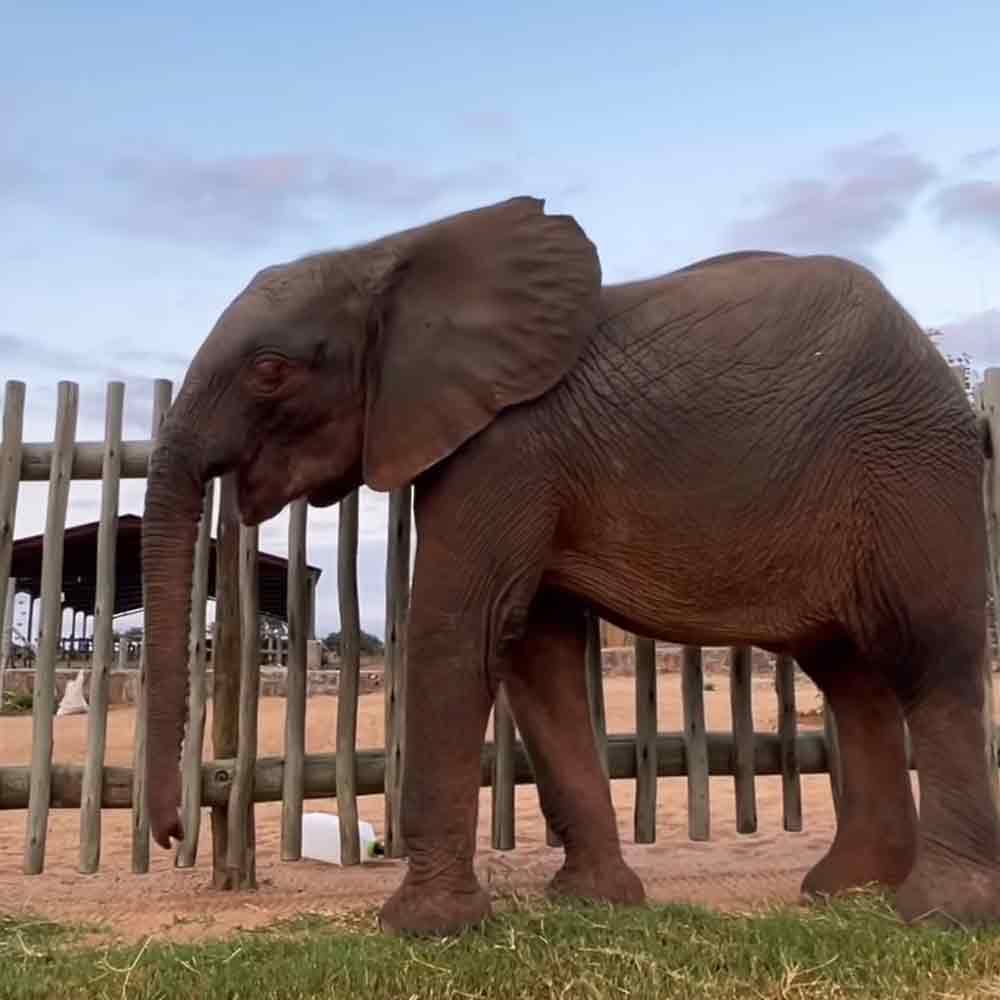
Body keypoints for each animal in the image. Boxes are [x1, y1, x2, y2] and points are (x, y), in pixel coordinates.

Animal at [142, 195, 1000, 937]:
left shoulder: (506, 447)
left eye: (270, 370)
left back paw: (939, 913)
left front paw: (426, 929)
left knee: (931, 656)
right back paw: (843, 891)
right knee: (851, 678)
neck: (389, 255)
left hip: (912, 467)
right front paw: (593, 904)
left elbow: (460, 628)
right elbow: (535, 653)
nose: (176, 830)